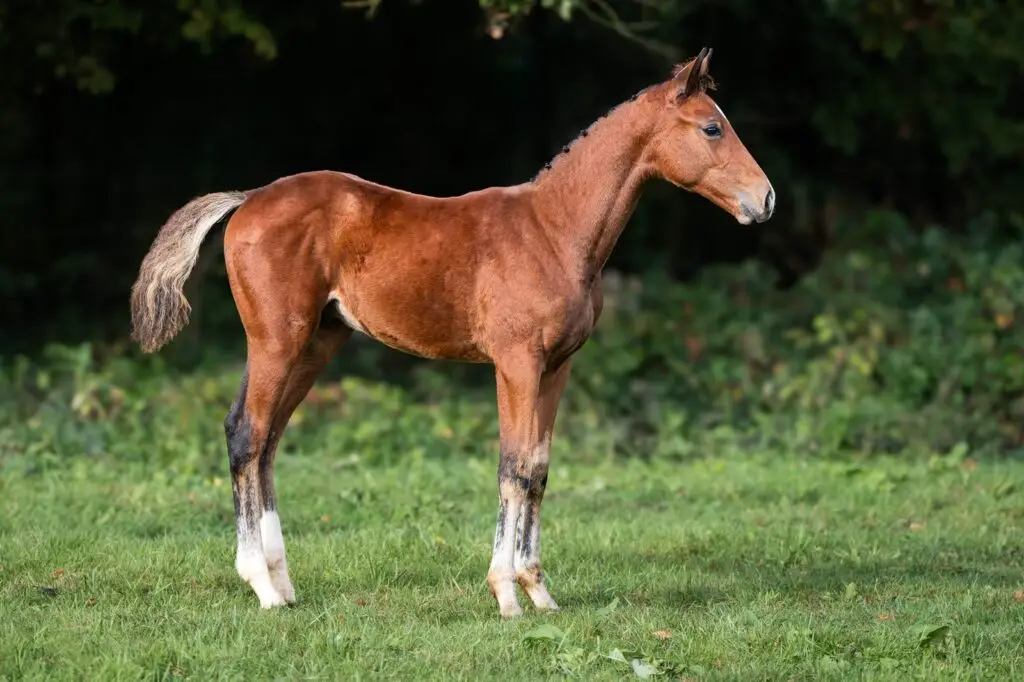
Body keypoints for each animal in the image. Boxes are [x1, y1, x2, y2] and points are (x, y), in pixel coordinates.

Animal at [129, 47, 774, 618]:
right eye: (712, 128)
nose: (765, 199)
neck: (555, 230)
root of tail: (248, 199)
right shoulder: (516, 362)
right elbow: (515, 465)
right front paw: (507, 596)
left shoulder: (557, 367)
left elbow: (539, 468)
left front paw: (540, 592)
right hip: (275, 340)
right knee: (247, 433)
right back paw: (261, 587)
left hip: (316, 343)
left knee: (266, 441)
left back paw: (285, 587)